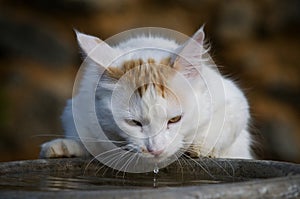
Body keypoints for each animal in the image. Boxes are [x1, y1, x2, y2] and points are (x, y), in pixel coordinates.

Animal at [39, 25, 253, 170]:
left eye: (175, 120)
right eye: (134, 123)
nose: (155, 150)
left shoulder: (234, 100)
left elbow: (222, 126)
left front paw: (200, 147)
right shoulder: (76, 111)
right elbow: (87, 142)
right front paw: (63, 147)